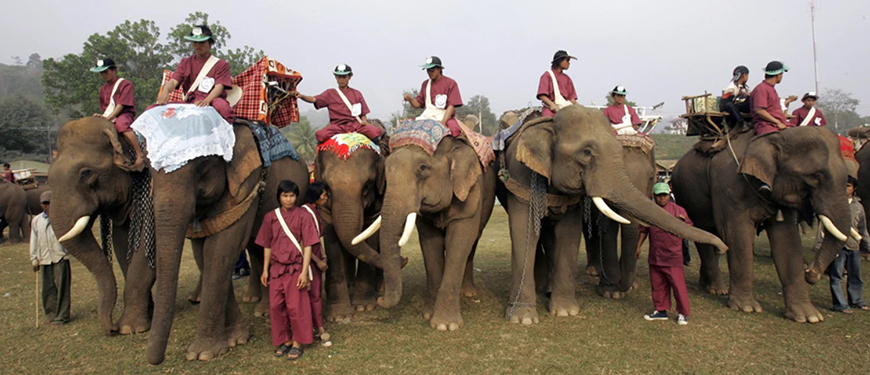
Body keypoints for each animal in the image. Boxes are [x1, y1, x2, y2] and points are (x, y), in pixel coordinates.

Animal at [358, 132, 498, 332]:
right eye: (386, 171)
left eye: (422, 168)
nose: (380, 300)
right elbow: (430, 244)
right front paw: (428, 315)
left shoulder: (471, 194)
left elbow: (460, 242)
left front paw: (446, 325)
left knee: (473, 242)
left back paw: (468, 293)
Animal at [498, 106, 728, 326]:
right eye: (587, 152)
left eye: (652, 177)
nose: (723, 247)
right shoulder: (520, 173)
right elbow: (524, 231)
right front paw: (523, 318)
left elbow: (569, 234)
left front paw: (566, 311)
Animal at [676, 126, 852, 324]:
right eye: (815, 176)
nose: (810, 272)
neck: (776, 136)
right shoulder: (729, 184)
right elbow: (736, 233)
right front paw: (746, 307)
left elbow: (786, 239)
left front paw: (808, 317)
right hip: (689, 198)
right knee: (704, 233)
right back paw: (717, 289)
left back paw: (708, 285)